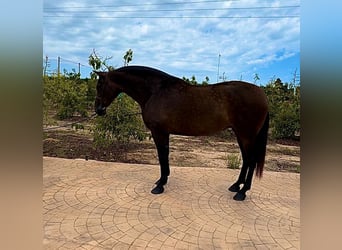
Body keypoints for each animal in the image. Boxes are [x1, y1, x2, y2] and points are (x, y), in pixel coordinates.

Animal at [94, 66, 270, 201]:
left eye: (100, 86)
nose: (98, 109)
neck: (155, 91)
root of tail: (262, 95)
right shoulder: (164, 133)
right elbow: (164, 156)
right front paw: (162, 180)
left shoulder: (159, 132)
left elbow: (162, 156)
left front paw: (160, 185)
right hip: (240, 135)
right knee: (246, 160)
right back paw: (235, 186)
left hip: (247, 135)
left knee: (251, 161)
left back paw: (242, 192)